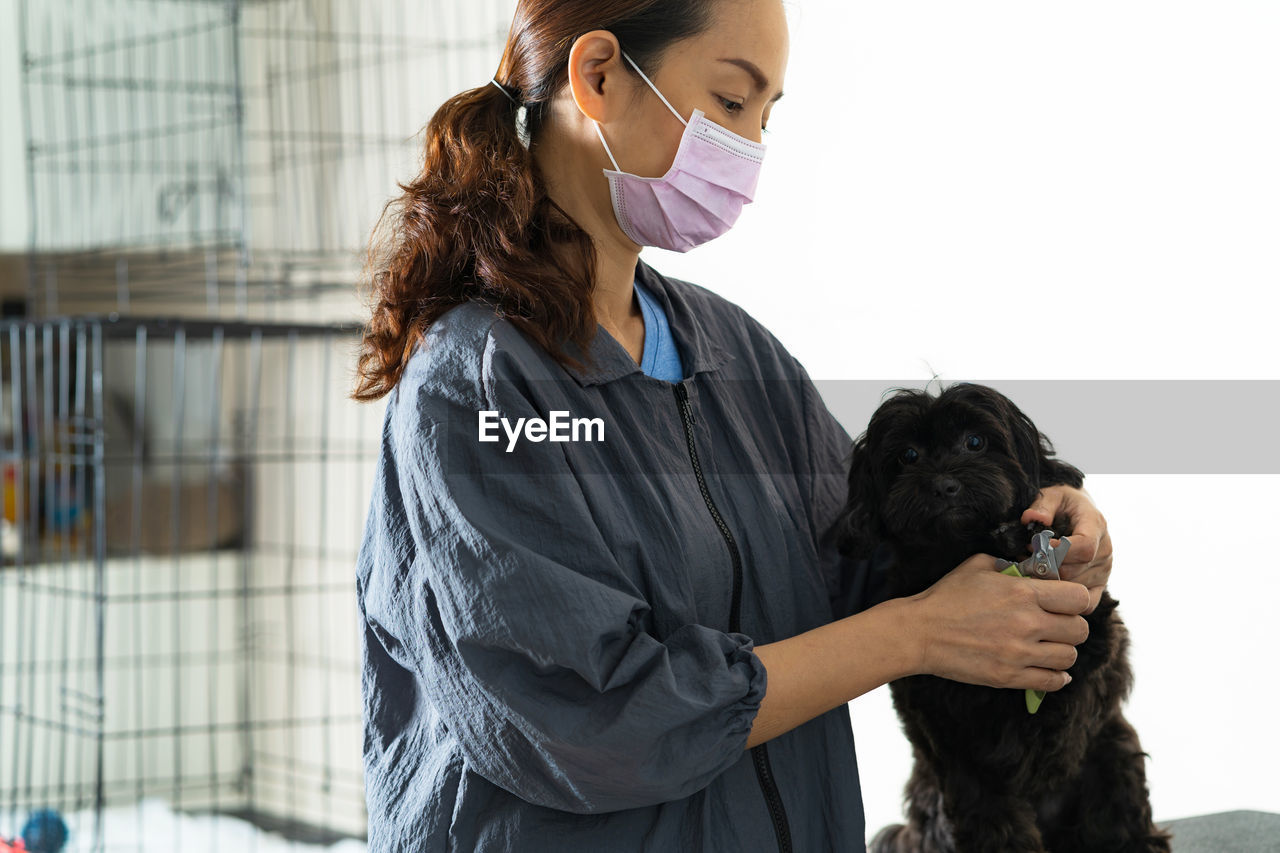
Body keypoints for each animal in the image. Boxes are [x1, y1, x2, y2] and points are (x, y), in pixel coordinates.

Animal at [839, 384, 1172, 850]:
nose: (944, 485)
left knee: (1120, 820)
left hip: (1112, 756)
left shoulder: (1093, 642)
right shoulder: (957, 749)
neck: (957, 554)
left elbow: (1088, 642)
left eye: (976, 442)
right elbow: (994, 821)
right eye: (908, 455)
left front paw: (1023, 532)